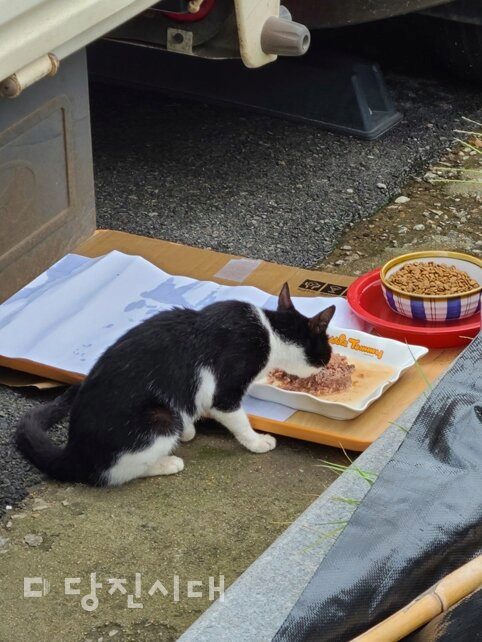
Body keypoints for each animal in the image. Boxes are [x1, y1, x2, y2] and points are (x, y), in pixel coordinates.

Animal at [15, 283, 335, 487]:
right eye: (327, 345)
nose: (330, 358)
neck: (269, 331)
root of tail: (73, 452)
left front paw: (190, 429)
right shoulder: (226, 390)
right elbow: (238, 420)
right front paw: (257, 442)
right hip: (159, 418)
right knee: (113, 474)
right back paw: (166, 463)